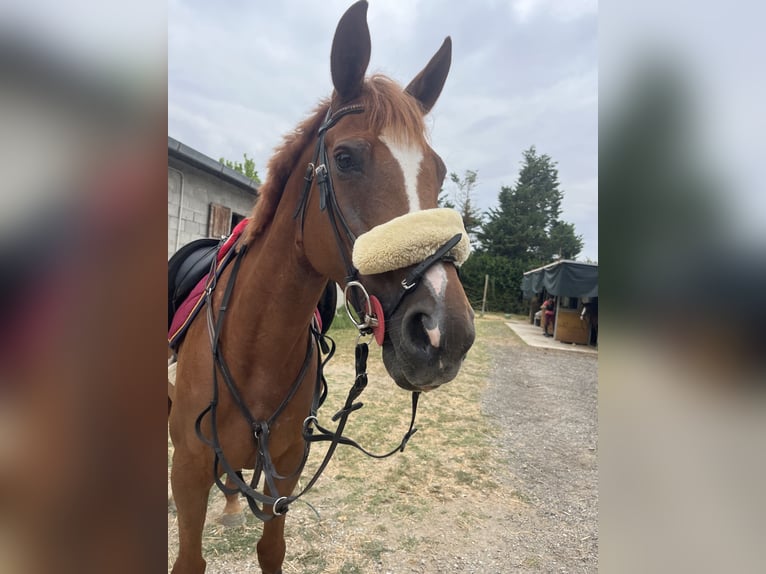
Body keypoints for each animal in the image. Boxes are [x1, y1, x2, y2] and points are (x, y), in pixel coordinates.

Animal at [168, 2, 475, 573]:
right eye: (346, 158)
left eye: (439, 171)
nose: (446, 333)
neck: (253, 349)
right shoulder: (190, 469)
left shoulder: (287, 467)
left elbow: (272, 548)